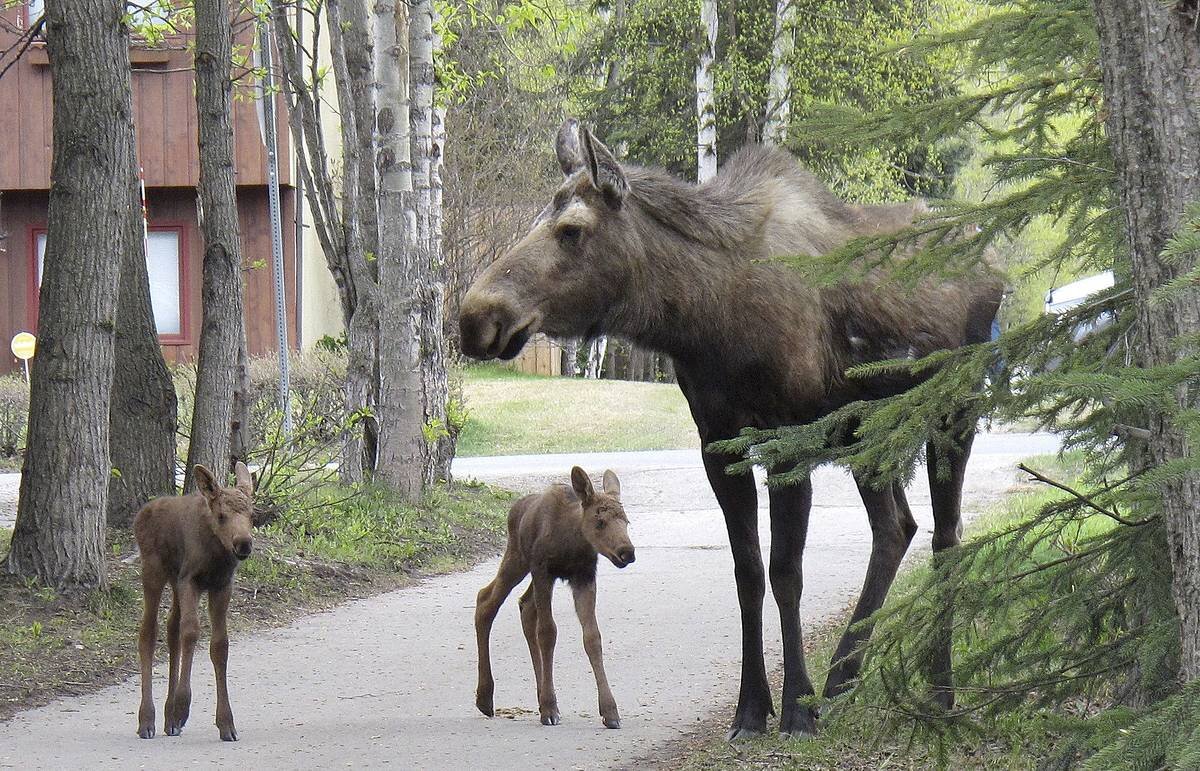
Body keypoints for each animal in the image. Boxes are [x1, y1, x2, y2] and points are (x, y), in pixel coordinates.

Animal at [135, 458, 254, 739]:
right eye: (221, 515)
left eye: (252, 515)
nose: (243, 543)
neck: (216, 555)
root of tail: (140, 514)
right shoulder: (190, 580)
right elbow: (191, 632)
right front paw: (182, 707)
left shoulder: (221, 585)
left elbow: (219, 644)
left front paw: (226, 722)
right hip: (153, 572)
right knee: (148, 632)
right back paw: (147, 720)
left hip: (175, 581)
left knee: (171, 628)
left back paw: (168, 719)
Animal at [475, 461, 638, 725]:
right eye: (600, 521)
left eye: (626, 522)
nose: (627, 552)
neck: (572, 543)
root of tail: (515, 509)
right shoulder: (544, 571)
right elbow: (547, 632)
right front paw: (550, 709)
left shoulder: (583, 576)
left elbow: (592, 637)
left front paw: (609, 711)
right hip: (518, 558)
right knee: (486, 601)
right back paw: (485, 697)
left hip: (527, 570)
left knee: (525, 606)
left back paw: (538, 695)